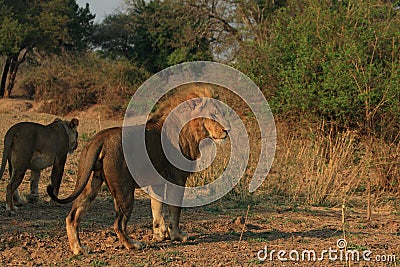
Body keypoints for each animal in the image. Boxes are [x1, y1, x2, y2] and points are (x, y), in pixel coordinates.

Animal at [48, 84, 231, 255]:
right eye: (213, 115)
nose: (227, 130)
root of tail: (100, 139)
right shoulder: (177, 178)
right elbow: (175, 210)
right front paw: (177, 235)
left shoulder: (157, 181)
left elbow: (156, 207)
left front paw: (160, 234)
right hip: (125, 190)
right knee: (118, 223)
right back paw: (132, 244)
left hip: (90, 183)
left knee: (72, 217)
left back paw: (78, 248)